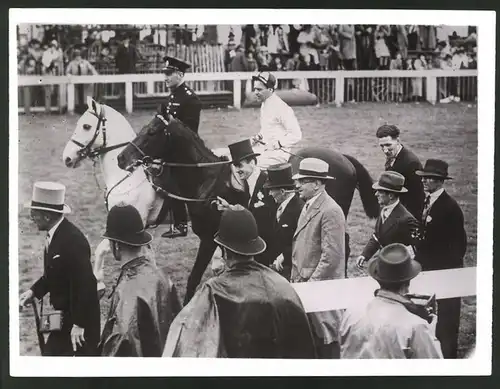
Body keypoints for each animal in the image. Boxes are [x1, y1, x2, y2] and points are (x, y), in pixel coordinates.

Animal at [115, 113, 376, 304]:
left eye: (152, 132)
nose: (121, 158)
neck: (209, 179)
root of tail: (343, 158)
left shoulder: (209, 239)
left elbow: (195, 276)